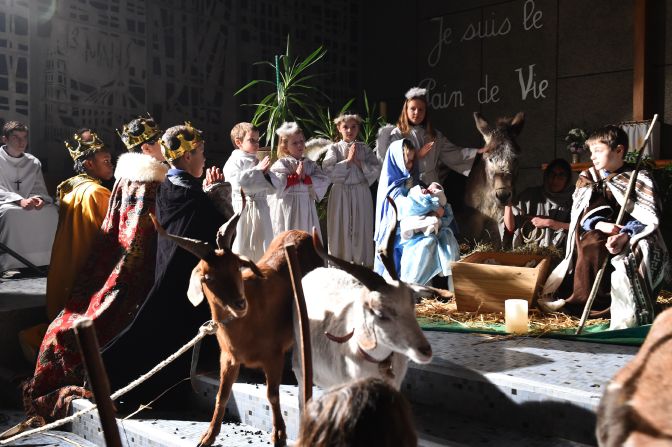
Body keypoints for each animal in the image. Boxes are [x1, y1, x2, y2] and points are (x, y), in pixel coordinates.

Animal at [158, 209, 326, 447]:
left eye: (237, 266)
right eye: (207, 277)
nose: (239, 304)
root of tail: (301, 232)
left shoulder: (273, 356)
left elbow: (272, 394)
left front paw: (279, 435)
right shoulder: (228, 358)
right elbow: (222, 395)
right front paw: (208, 436)